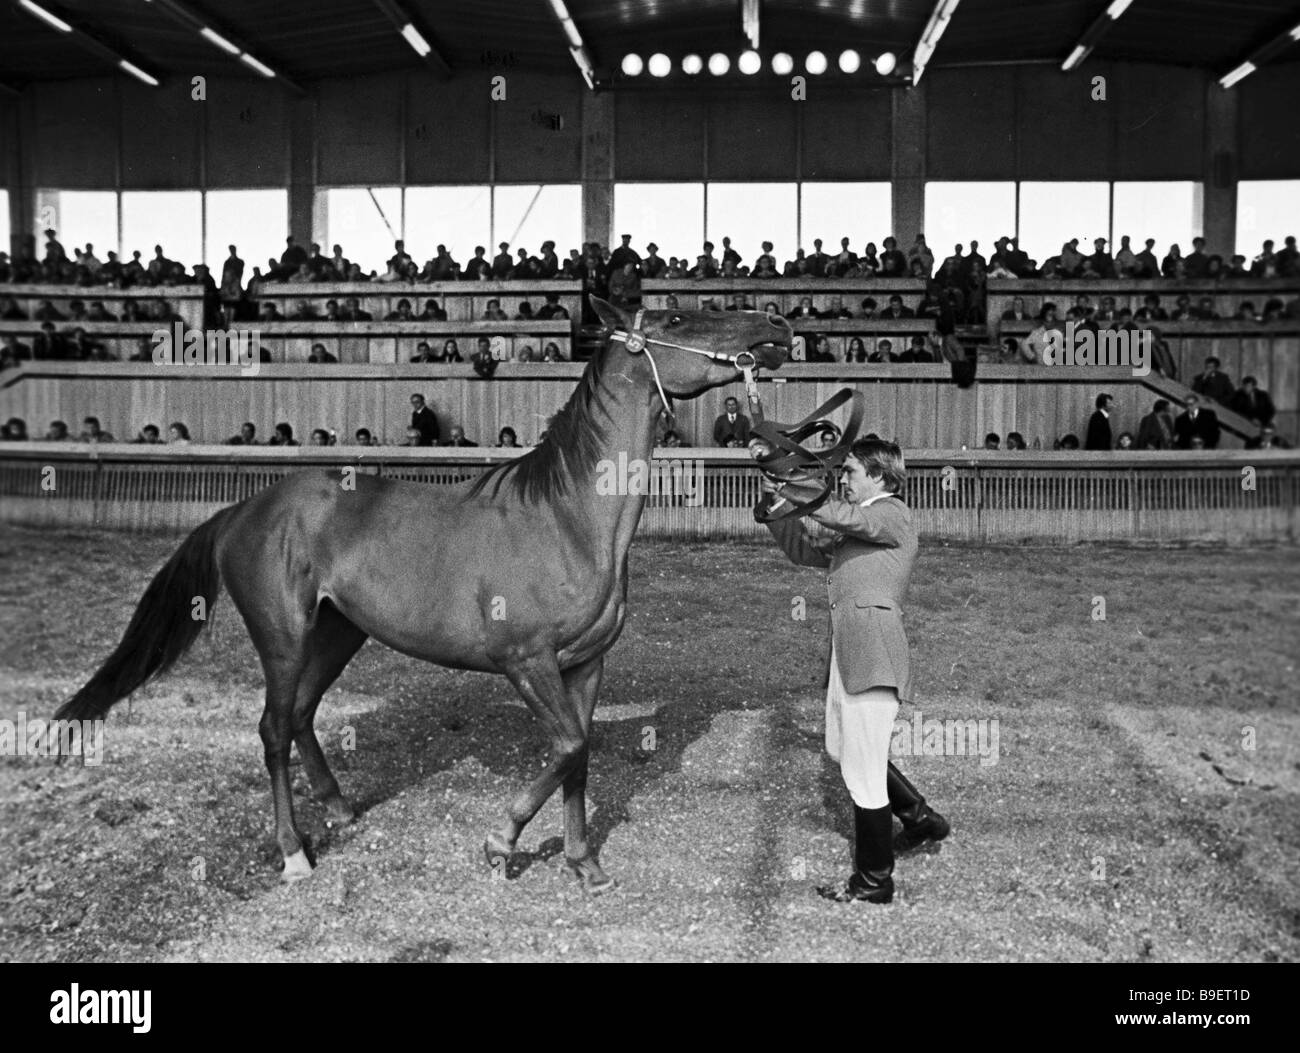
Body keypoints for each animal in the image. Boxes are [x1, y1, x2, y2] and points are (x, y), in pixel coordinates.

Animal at [55, 298, 791, 893]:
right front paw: (500, 844)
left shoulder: (585, 665)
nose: (777, 327)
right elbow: (566, 749)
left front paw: (584, 865)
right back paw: (294, 854)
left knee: (301, 716)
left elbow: (579, 757)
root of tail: (243, 510)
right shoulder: (527, 661)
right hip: (283, 638)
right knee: (272, 728)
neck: (568, 518)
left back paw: (340, 808)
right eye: (677, 319)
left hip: (339, 632)